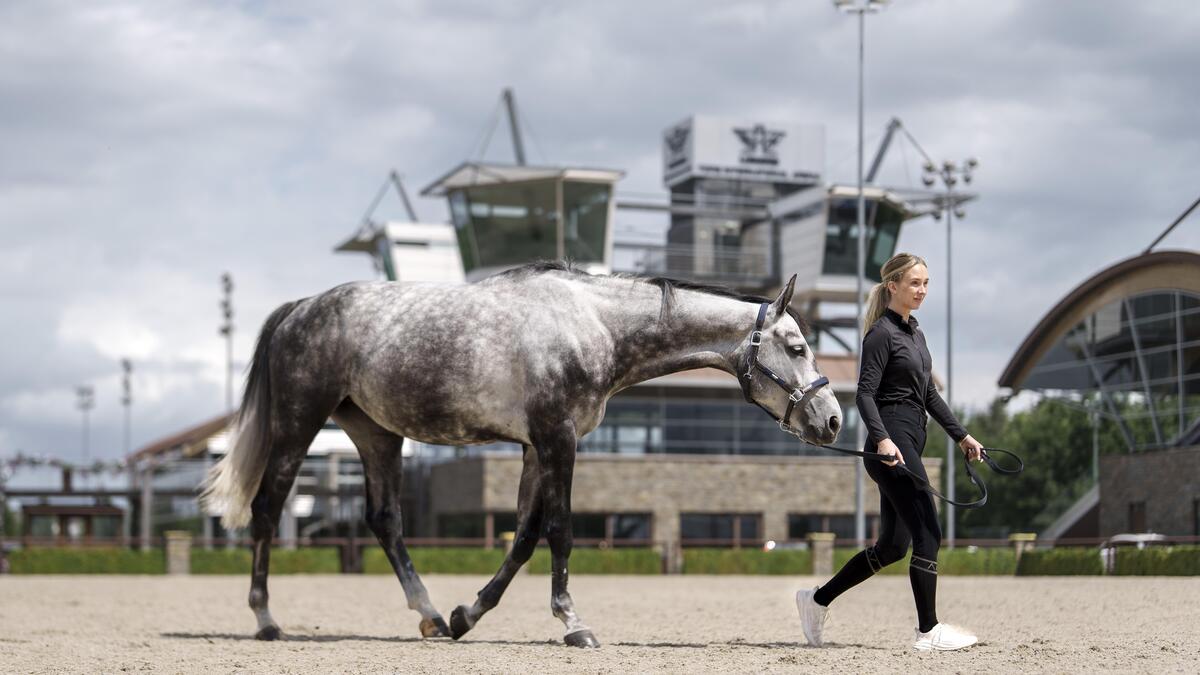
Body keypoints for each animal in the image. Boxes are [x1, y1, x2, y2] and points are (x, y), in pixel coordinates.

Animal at [201, 261, 842, 648]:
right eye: (797, 346)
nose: (833, 420)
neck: (594, 325)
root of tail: (302, 307)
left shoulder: (537, 447)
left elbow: (526, 536)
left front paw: (470, 615)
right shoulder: (559, 438)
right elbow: (560, 531)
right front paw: (574, 623)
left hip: (376, 434)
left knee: (384, 521)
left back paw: (433, 616)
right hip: (298, 424)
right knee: (267, 509)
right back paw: (266, 620)